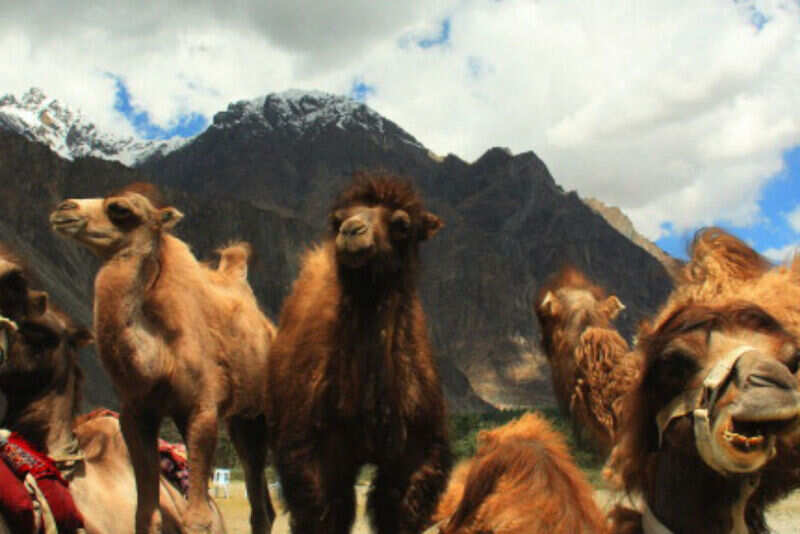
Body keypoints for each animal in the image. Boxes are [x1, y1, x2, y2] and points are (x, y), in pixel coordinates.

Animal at [50, 183, 276, 534]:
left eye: (120, 208)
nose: (65, 208)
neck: (161, 357)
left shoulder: (202, 409)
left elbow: (198, 517)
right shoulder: (137, 413)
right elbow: (146, 514)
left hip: (259, 413)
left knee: (260, 505)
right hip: (233, 418)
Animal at [265, 172, 452, 534]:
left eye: (402, 224)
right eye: (337, 219)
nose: (351, 231)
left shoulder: (415, 458)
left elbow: (398, 513)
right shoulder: (315, 456)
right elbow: (325, 514)